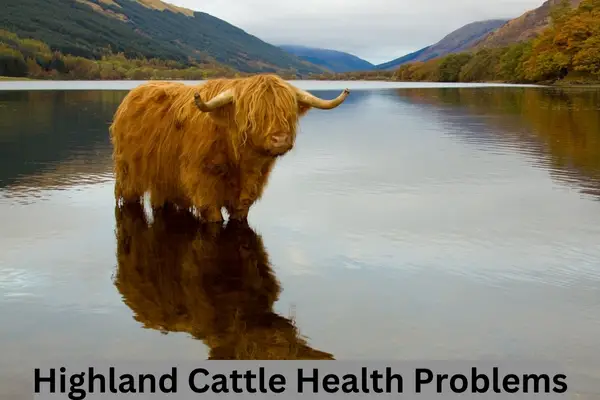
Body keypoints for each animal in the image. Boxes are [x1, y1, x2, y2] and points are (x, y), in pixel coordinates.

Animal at [110, 72, 350, 222]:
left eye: (288, 113)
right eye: (253, 116)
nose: (280, 139)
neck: (240, 159)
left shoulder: (250, 186)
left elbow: (241, 208)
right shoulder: (201, 180)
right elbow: (212, 212)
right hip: (128, 170)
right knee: (128, 194)